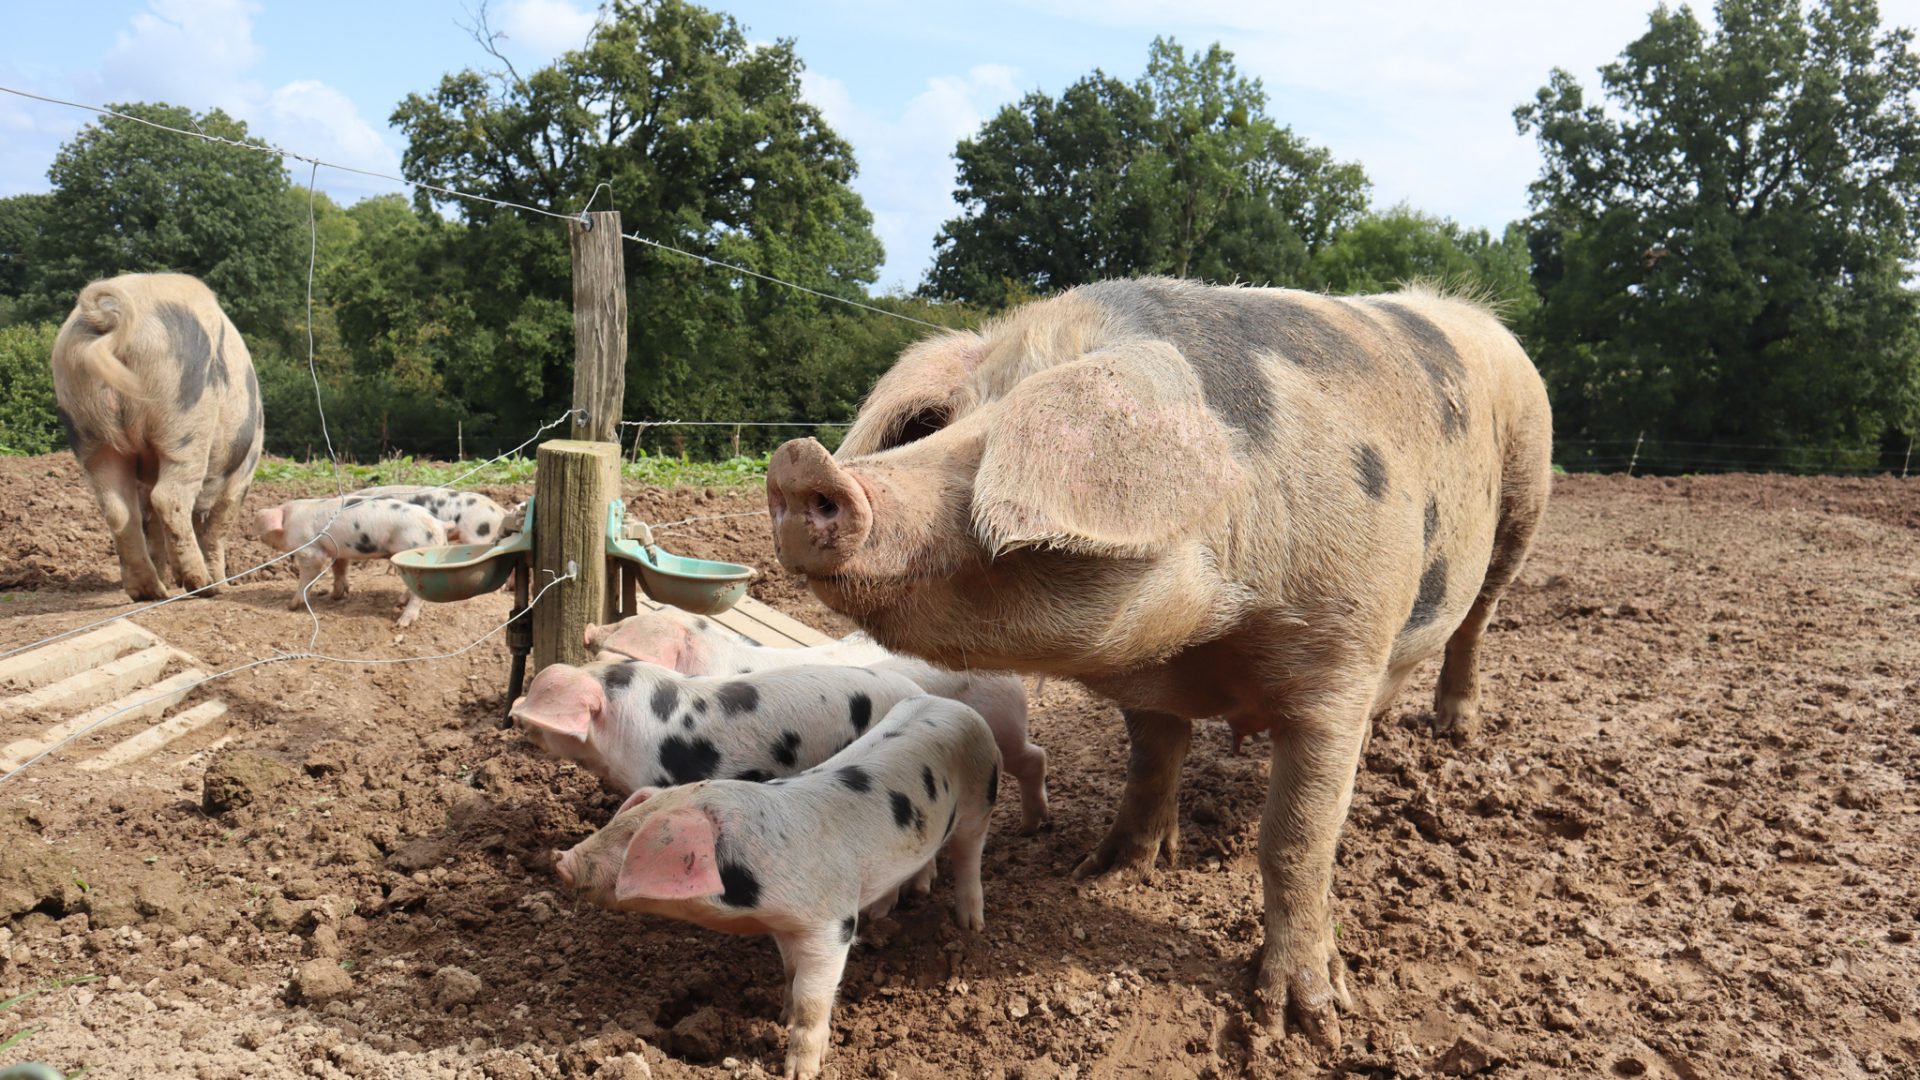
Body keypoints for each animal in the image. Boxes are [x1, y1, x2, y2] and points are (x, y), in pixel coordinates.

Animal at [48, 270, 264, 595]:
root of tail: (112, 315)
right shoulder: (244, 471)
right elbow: (217, 528)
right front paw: (221, 585)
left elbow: (153, 529)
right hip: (186, 421)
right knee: (169, 497)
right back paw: (202, 585)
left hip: (88, 432)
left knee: (118, 510)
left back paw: (149, 591)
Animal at [251, 495, 445, 622]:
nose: (255, 538)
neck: (289, 521)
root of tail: (440, 526)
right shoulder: (338, 550)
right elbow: (339, 569)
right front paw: (336, 596)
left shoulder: (309, 550)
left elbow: (307, 577)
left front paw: (291, 606)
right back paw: (399, 601)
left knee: (418, 595)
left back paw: (402, 623)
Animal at [556, 691, 998, 1068]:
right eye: (620, 822)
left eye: (634, 840)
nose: (560, 861)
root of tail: (958, 705)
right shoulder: (786, 925)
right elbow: (789, 973)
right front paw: (781, 1015)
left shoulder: (831, 924)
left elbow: (811, 996)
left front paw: (800, 1069)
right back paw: (893, 906)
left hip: (979, 804)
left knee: (968, 856)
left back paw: (970, 925)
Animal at [756, 272, 1551, 1037]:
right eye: (940, 424)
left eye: (1008, 441)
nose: (799, 464)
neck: (1207, 643)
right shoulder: (1148, 686)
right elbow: (1149, 765)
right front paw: (1103, 873)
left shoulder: (1339, 657)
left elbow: (1297, 837)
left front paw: (1305, 1021)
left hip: (1525, 502)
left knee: (1476, 620)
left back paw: (1454, 731)